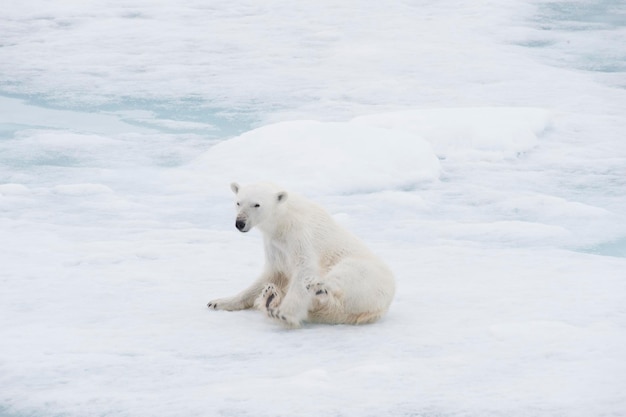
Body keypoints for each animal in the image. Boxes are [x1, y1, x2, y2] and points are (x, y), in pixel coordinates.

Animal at [208, 182, 394, 328]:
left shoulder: (299, 235)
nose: (240, 223)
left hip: (364, 271)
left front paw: (284, 314)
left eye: (257, 204)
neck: (282, 223)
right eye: (238, 202)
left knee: (343, 276)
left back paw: (316, 289)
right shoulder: (275, 246)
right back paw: (270, 297)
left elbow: (304, 268)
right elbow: (271, 275)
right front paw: (218, 302)